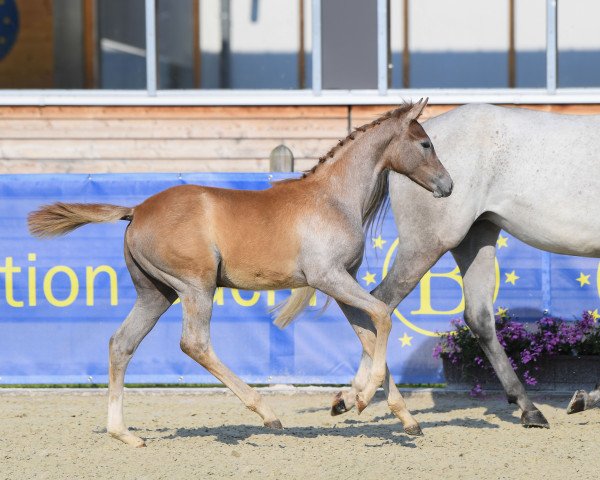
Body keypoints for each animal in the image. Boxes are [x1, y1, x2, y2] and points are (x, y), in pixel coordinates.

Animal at [28, 99, 450, 448]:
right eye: (425, 143)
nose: (448, 185)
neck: (332, 198)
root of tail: (137, 210)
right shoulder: (328, 278)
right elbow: (382, 317)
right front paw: (359, 398)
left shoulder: (344, 279)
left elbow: (369, 333)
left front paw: (391, 414)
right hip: (195, 286)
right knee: (194, 344)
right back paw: (268, 413)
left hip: (156, 293)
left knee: (121, 343)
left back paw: (124, 434)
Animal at [332, 104, 600, 428]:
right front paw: (585, 398)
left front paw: (583, 399)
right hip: (429, 243)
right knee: (381, 302)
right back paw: (367, 397)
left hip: (476, 237)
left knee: (478, 317)